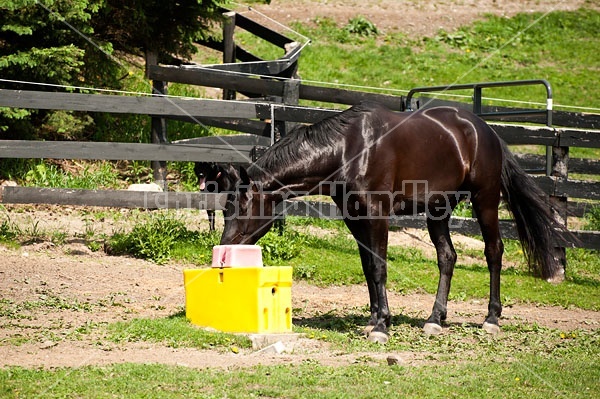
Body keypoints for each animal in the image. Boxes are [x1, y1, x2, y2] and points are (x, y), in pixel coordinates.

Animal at [218, 102, 568, 344]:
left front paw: (382, 325)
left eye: (242, 205)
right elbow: (368, 266)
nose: (223, 254)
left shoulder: (377, 215)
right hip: (438, 210)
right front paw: (373, 319)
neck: (349, 149)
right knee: (447, 257)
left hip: (486, 200)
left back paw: (492, 319)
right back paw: (435, 319)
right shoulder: (354, 217)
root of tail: (487, 132)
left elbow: (379, 266)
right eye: (225, 206)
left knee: (494, 251)